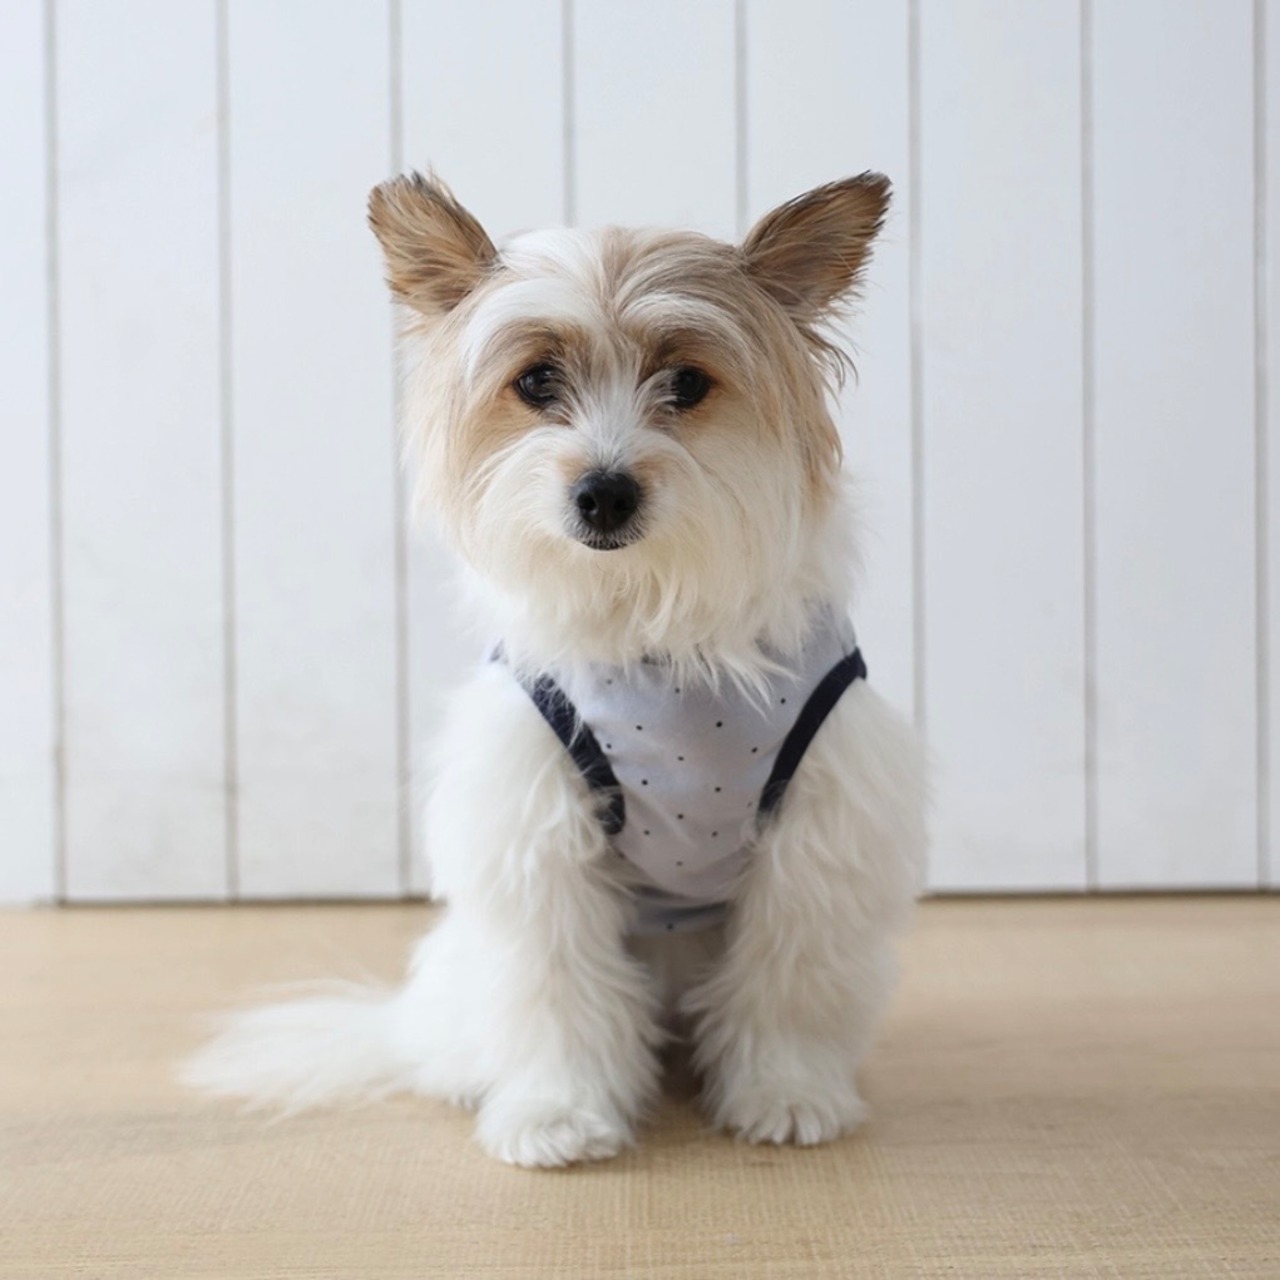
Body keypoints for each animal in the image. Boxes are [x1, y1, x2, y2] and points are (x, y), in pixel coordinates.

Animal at [184, 172, 928, 1167]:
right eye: (537, 381)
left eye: (686, 384)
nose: (604, 492)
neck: (650, 626)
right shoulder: (535, 834)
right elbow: (556, 993)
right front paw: (558, 1112)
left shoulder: (818, 834)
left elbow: (791, 983)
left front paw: (788, 1093)